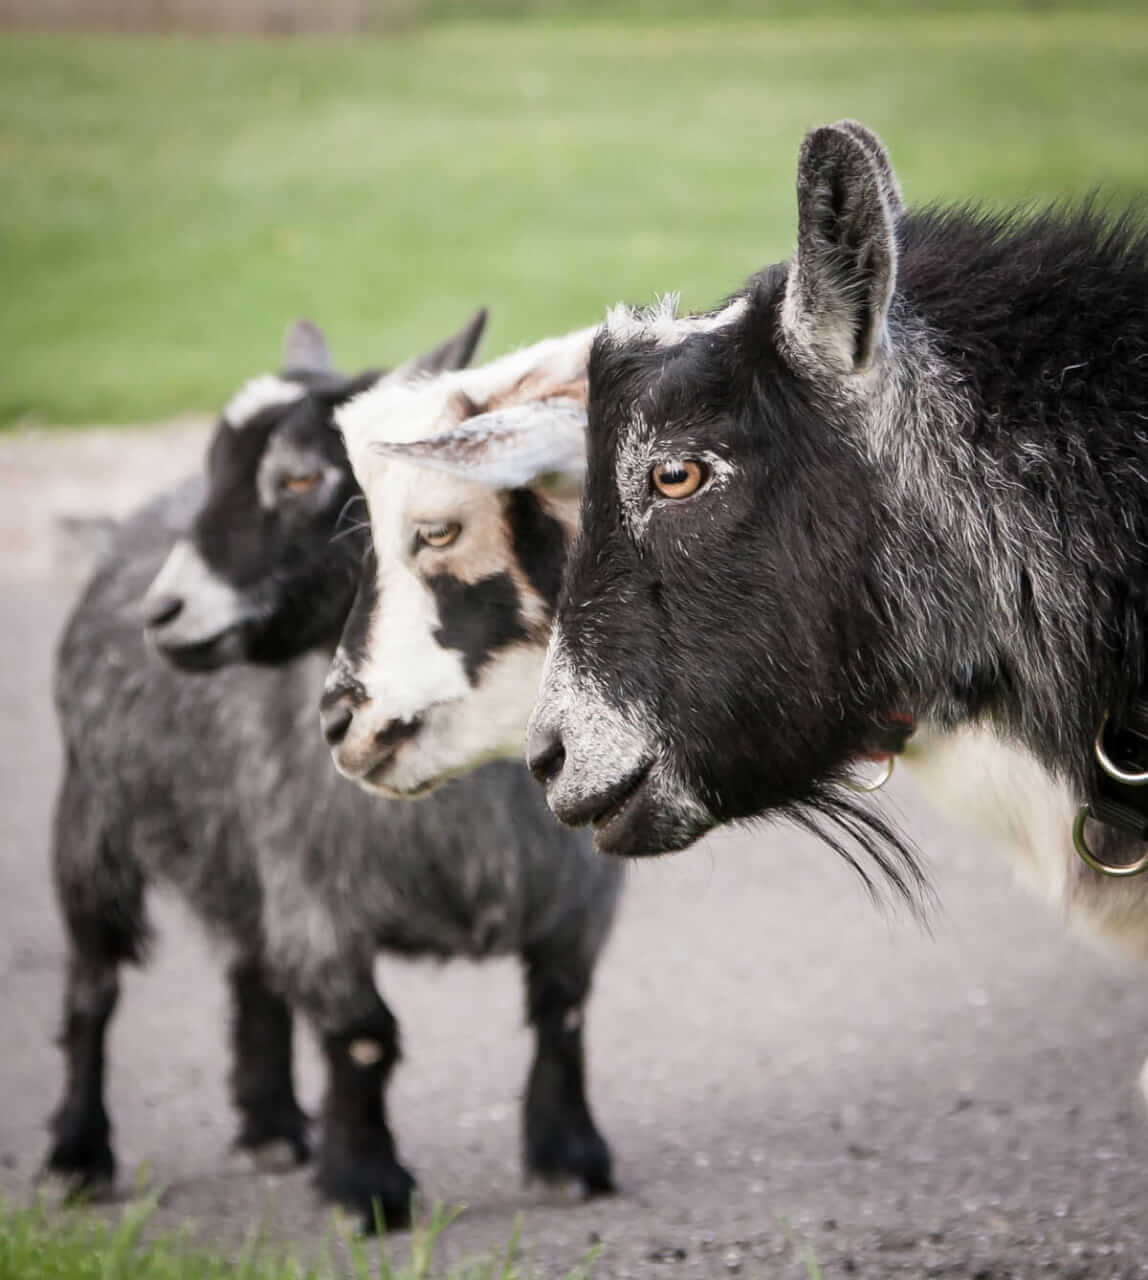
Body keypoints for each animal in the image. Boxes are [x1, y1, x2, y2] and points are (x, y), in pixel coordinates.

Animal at [44, 312, 619, 1228]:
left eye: (301, 477)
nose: (162, 613)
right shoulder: (319, 898)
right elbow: (362, 1034)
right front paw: (366, 1189)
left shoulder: (579, 893)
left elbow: (561, 1011)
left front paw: (569, 1158)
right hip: (92, 826)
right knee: (92, 987)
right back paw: (75, 1155)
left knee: (251, 969)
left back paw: (271, 1126)